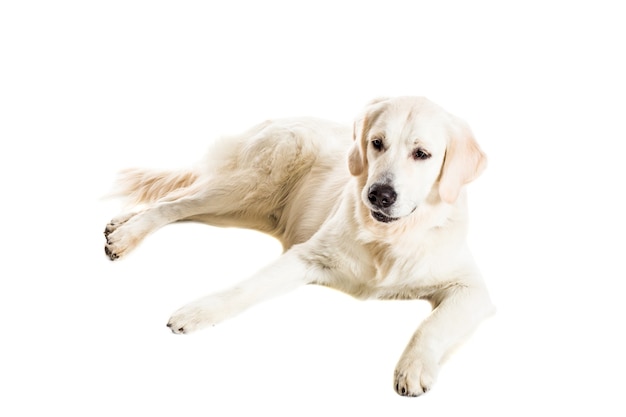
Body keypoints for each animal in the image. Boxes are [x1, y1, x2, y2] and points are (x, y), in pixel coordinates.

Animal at [103, 96, 492, 394]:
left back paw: (119, 225)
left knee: (178, 199)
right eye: (377, 143)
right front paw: (199, 312)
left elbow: (434, 324)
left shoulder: (472, 289)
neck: (389, 238)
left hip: (241, 209)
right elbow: (246, 288)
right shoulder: (306, 256)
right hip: (247, 186)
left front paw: (413, 367)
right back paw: (124, 236)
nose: (379, 195)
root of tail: (276, 117)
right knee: (175, 203)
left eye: (422, 154)